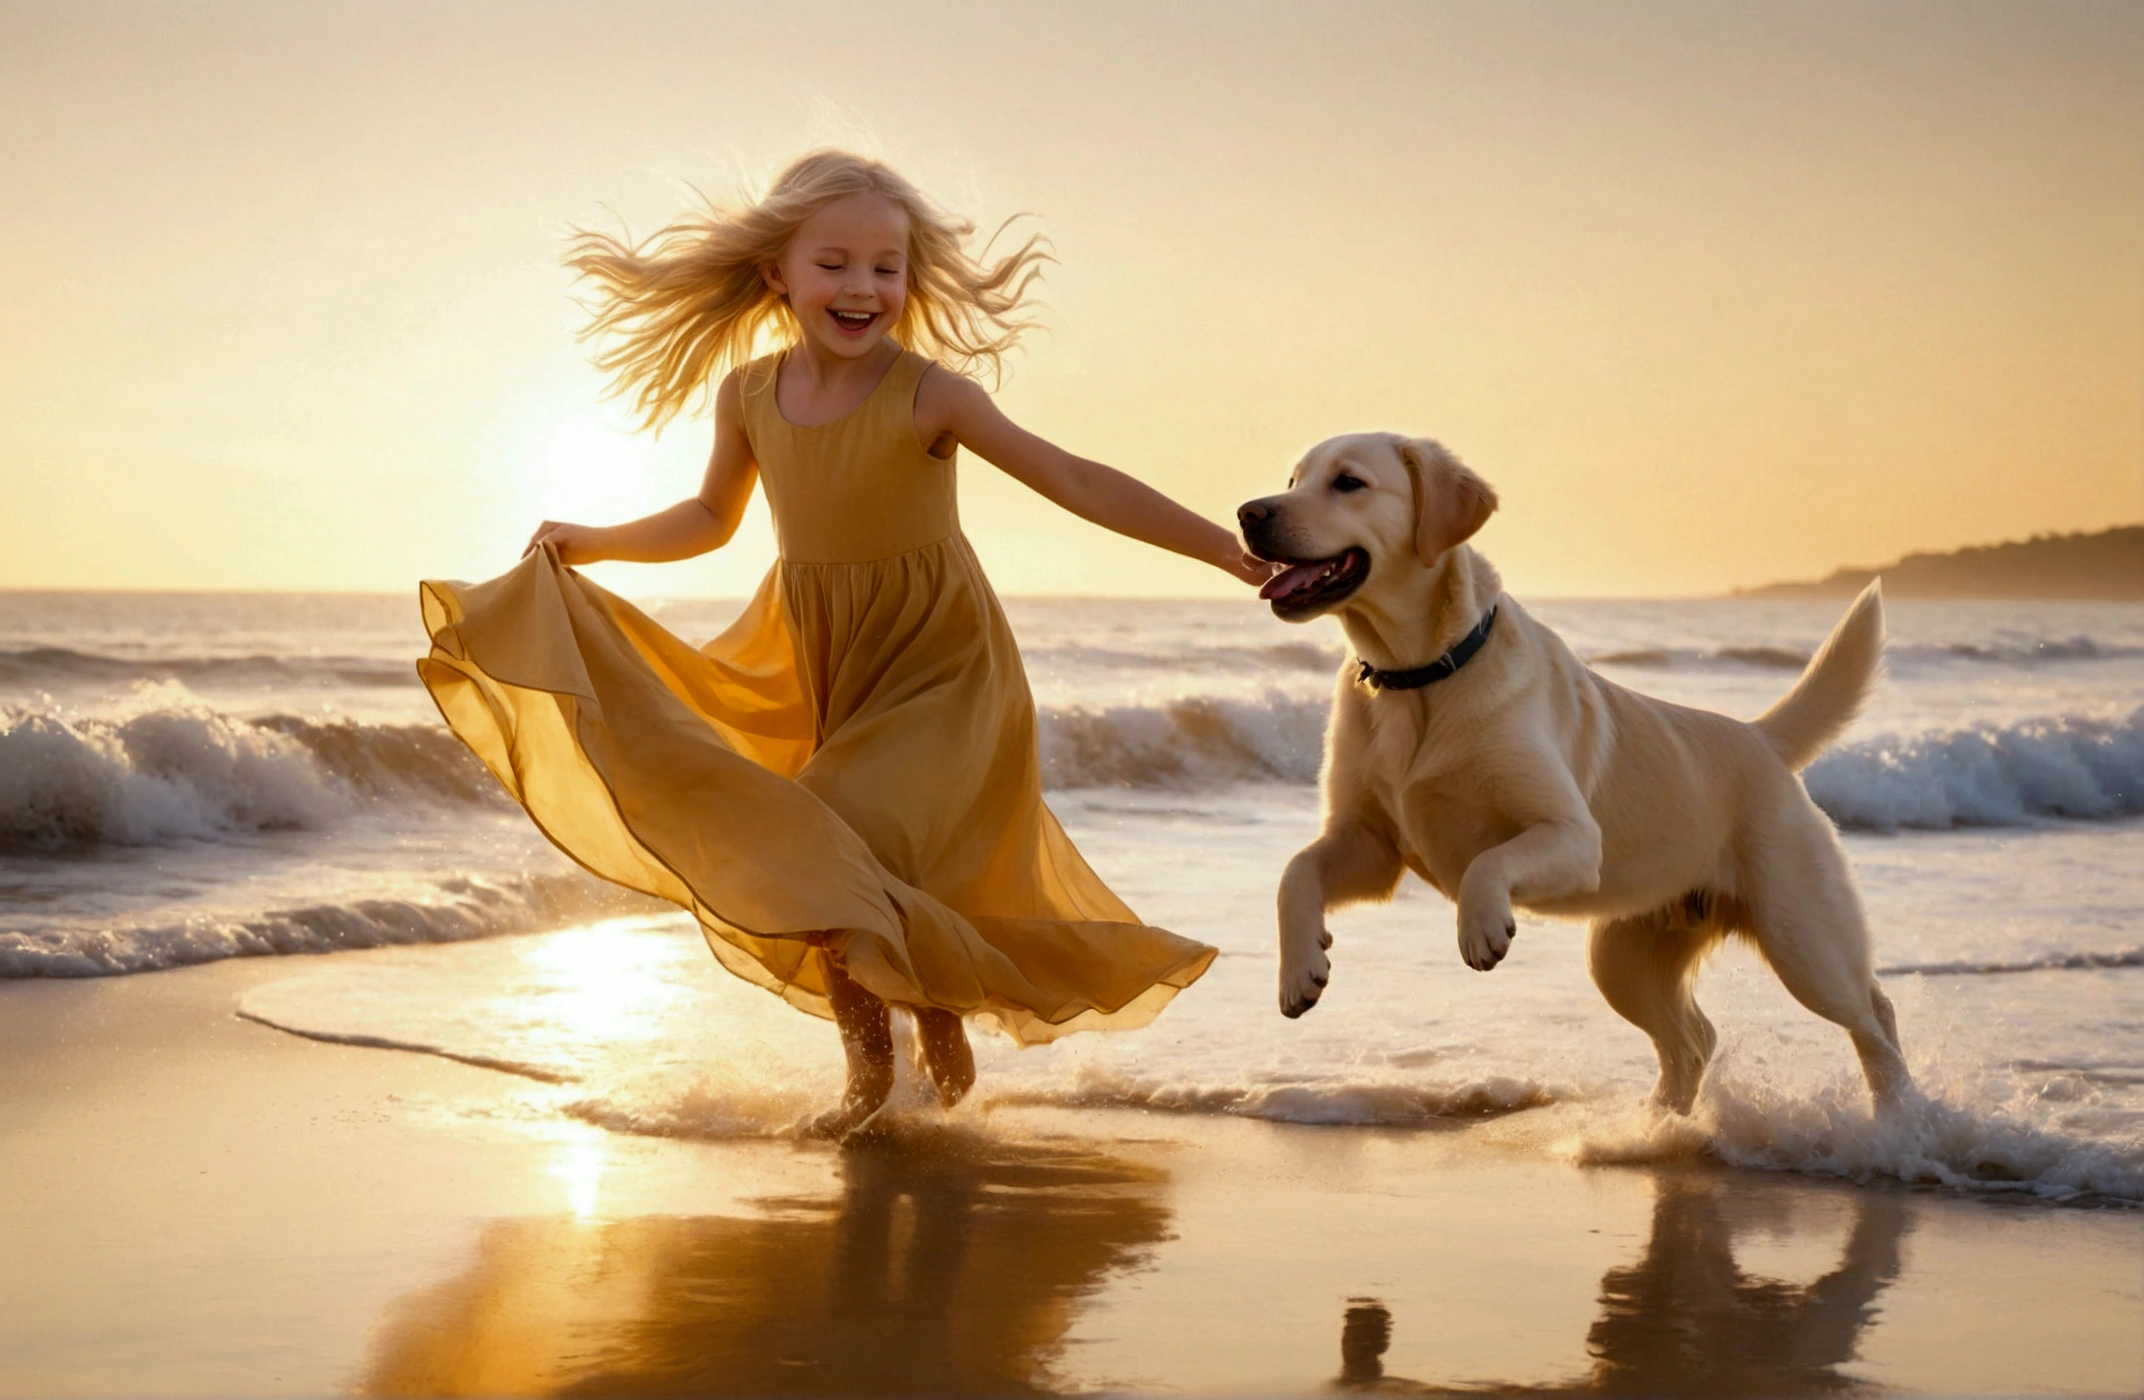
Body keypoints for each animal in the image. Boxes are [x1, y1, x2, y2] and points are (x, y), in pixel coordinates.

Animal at [1243, 430, 1912, 1106]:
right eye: (1294, 480)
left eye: (1348, 482)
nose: (1249, 513)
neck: (1421, 676)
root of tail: (1761, 737)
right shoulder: (1369, 844)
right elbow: (1294, 873)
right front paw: (1300, 968)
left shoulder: (1570, 833)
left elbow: (1488, 863)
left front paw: (1480, 927)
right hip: (1624, 959)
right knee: (1693, 1040)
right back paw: (1660, 1123)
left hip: (1803, 940)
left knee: (1872, 1016)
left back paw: (1899, 1117)